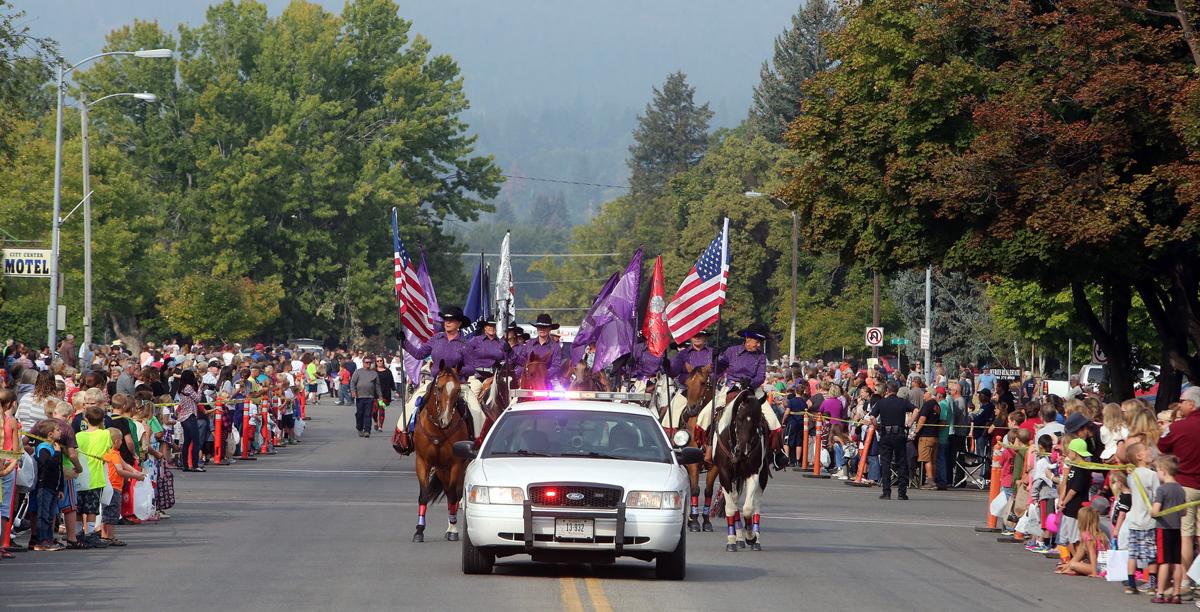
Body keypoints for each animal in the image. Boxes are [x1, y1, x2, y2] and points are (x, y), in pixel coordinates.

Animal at [412, 360, 468, 542]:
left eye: (457, 390)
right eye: (439, 387)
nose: (445, 420)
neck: (438, 430)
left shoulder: (456, 463)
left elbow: (453, 496)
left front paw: (453, 530)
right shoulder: (422, 462)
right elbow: (423, 494)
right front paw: (419, 530)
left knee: (455, 494)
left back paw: (452, 526)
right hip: (441, 469)